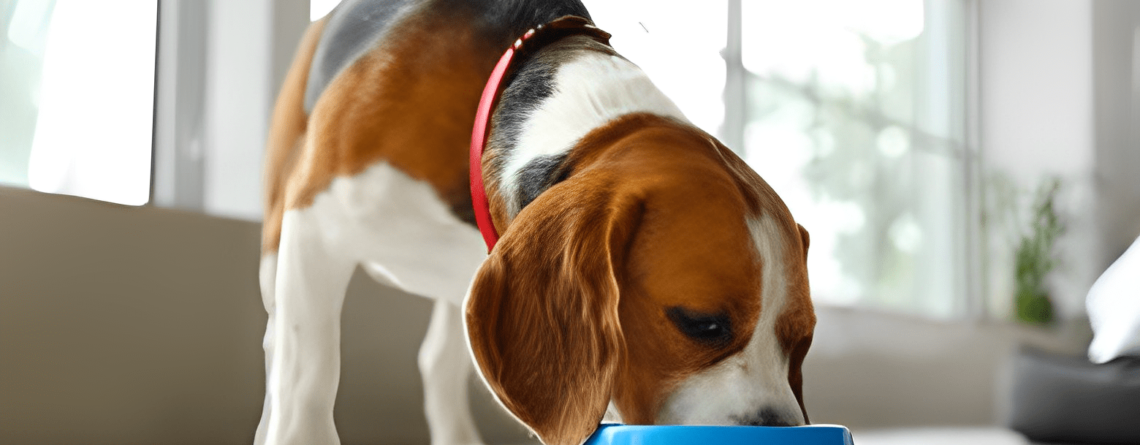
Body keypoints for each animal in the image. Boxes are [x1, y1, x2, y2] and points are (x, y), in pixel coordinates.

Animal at [258, 0, 816, 445]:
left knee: (436, 363)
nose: (783, 431)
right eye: (702, 324)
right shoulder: (313, 222)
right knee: (278, 344)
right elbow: (308, 374)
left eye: (801, 339)